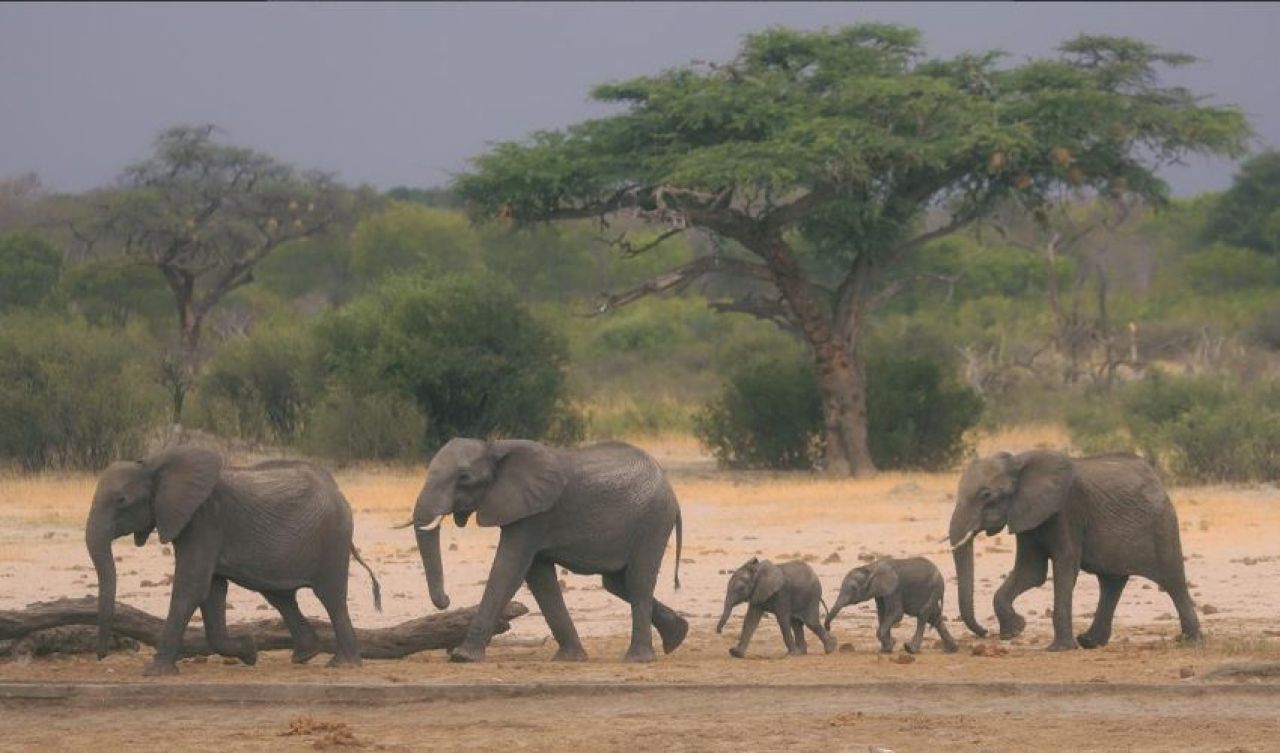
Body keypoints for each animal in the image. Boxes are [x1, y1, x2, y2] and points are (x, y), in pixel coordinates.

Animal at [87, 448, 378, 676]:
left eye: (121, 500)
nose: (102, 655)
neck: (154, 465)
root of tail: (338, 490)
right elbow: (211, 592)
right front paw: (249, 651)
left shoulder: (205, 520)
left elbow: (191, 588)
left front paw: (154, 672)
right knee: (280, 596)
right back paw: (304, 655)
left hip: (333, 537)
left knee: (331, 597)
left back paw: (343, 665)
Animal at [414, 437, 686, 660]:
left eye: (464, 478)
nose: (446, 600)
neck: (495, 447)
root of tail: (671, 490)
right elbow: (540, 578)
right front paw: (570, 658)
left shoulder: (536, 515)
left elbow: (508, 568)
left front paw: (463, 657)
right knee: (617, 583)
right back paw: (677, 636)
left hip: (653, 521)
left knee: (638, 581)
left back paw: (638, 658)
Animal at [824, 555, 957, 655]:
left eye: (853, 588)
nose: (828, 628)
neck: (870, 567)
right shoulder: (880, 593)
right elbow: (882, 614)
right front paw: (886, 649)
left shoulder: (894, 588)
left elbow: (896, 613)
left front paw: (890, 645)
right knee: (935, 618)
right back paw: (952, 649)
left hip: (935, 588)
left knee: (923, 615)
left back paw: (911, 649)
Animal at [952, 450, 1198, 650]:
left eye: (986, 495)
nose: (985, 632)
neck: (1019, 461)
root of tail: (1157, 479)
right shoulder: (1027, 514)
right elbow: (1030, 571)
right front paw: (1015, 630)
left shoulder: (1067, 510)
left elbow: (1064, 565)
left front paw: (1059, 649)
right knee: (1111, 582)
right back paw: (1089, 642)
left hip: (1162, 524)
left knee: (1172, 580)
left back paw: (1191, 641)